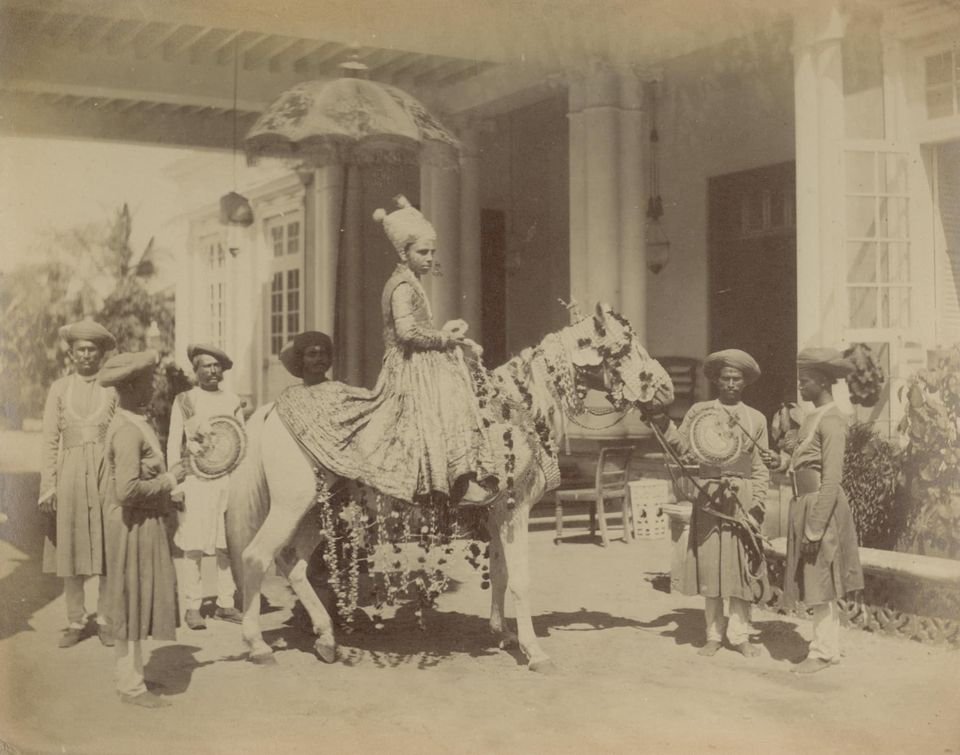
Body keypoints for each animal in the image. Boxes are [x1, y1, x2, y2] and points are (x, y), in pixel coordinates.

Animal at [228, 304, 672, 672]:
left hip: (317, 512)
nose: (666, 388)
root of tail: (271, 409)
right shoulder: (515, 511)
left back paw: (326, 638)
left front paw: (503, 634)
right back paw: (258, 645)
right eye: (624, 349)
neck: (516, 409)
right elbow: (521, 579)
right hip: (292, 505)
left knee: (292, 563)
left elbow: (501, 572)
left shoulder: (496, 515)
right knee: (256, 557)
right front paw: (534, 652)